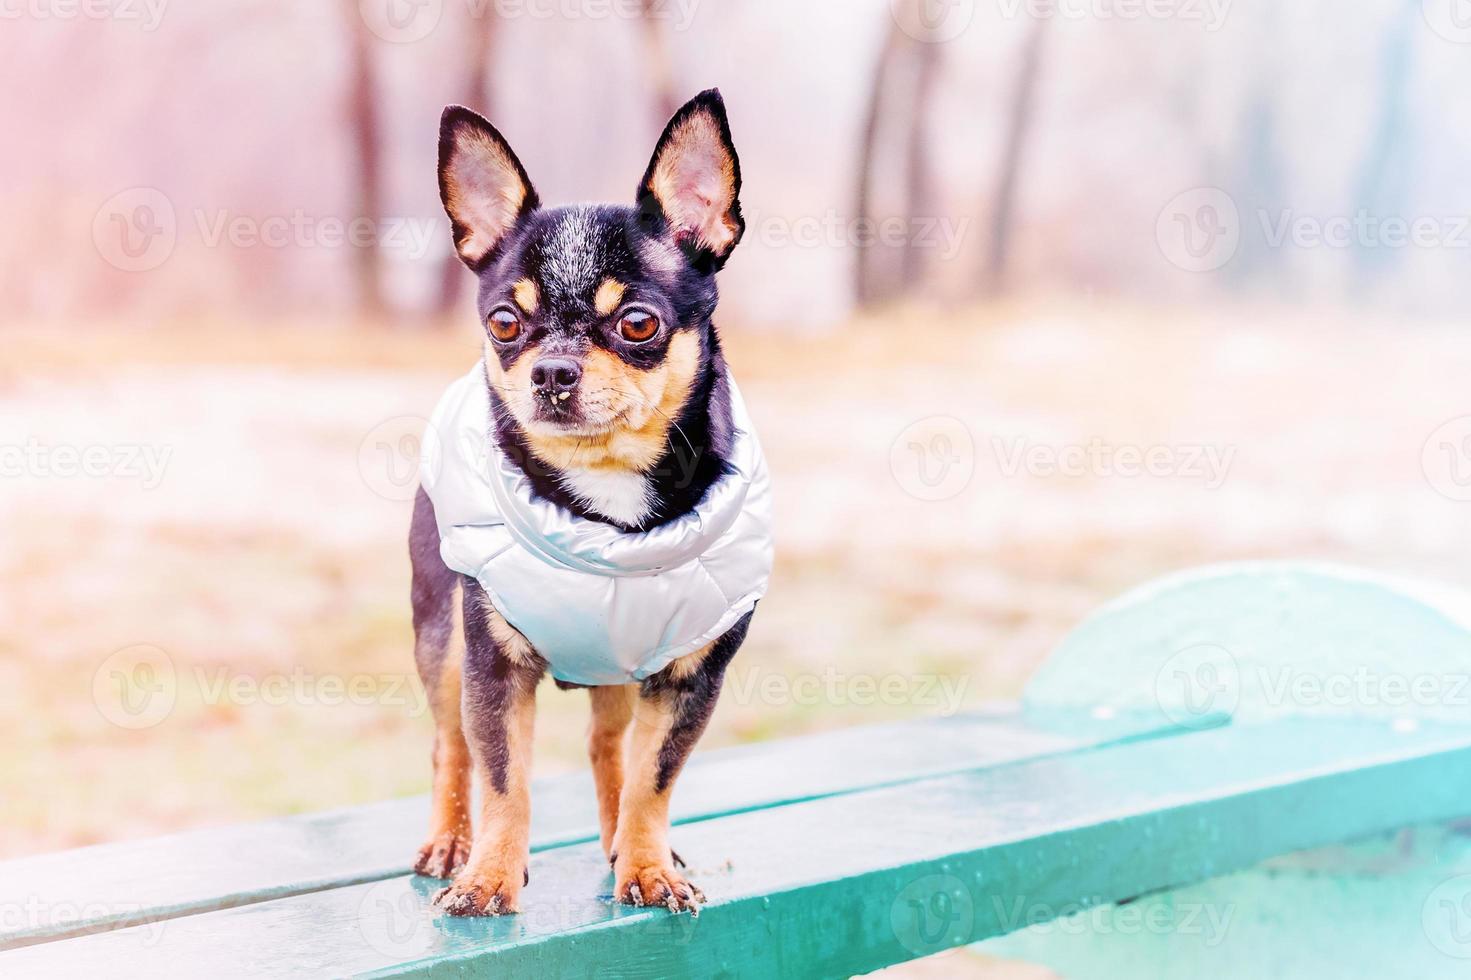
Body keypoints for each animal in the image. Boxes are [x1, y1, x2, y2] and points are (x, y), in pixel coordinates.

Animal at [403, 87, 770, 912]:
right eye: (504, 323)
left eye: (637, 323)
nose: (552, 371)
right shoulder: (492, 669)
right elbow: (504, 777)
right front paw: (488, 879)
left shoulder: (691, 677)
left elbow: (652, 777)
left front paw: (647, 865)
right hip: (441, 640)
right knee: (448, 745)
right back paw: (450, 843)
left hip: (618, 672)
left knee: (611, 748)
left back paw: (617, 842)